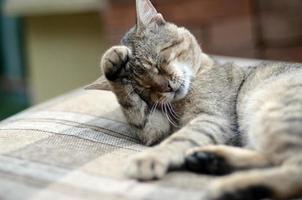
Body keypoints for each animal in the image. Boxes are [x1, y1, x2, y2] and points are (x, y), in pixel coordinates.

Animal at [89, 0, 302, 200]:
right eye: (145, 89)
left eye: (157, 62)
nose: (167, 87)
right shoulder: (155, 129)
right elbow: (134, 108)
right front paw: (113, 65)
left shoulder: (212, 117)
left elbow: (180, 138)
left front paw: (149, 158)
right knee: (275, 160)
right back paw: (210, 160)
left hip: (275, 111)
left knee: (292, 169)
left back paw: (229, 186)